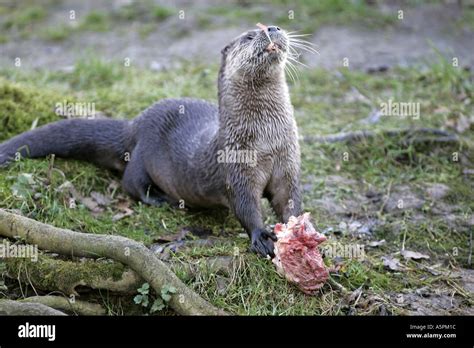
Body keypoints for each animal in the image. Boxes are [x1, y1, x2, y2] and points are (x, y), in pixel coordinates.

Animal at [0, 24, 302, 256]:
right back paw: (159, 198)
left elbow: (289, 199)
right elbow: (245, 205)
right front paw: (260, 237)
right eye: (249, 36)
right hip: (143, 156)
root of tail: (134, 124)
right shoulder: (236, 166)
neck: (266, 140)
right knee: (131, 183)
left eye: (270, 26)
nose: (272, 28)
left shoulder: (288, 163)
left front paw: (300, 227)